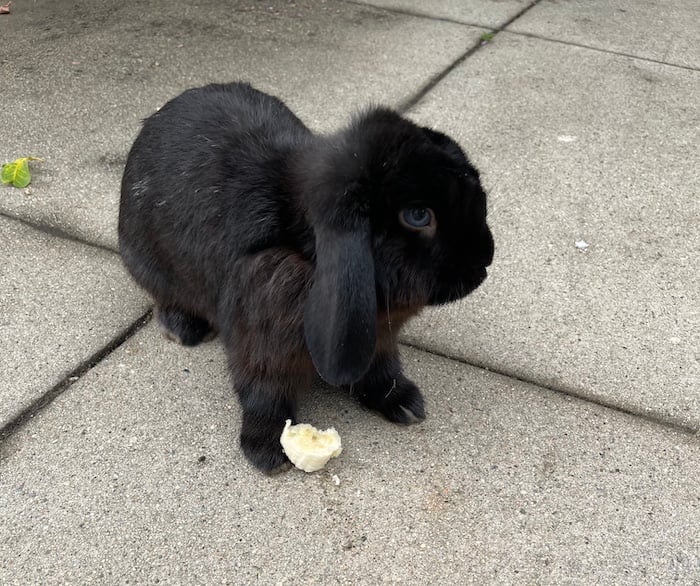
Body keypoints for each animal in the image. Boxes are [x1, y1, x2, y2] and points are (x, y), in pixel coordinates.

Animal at [119, 82, 494, 473]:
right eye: (418, 215)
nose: (484, 263)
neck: (305, 246)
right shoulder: (259, 347)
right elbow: (264, 394)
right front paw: (267, 451)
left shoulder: (380, 341)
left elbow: (381, 370)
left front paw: (405, 404)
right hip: (148, 266)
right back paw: (184, 329)